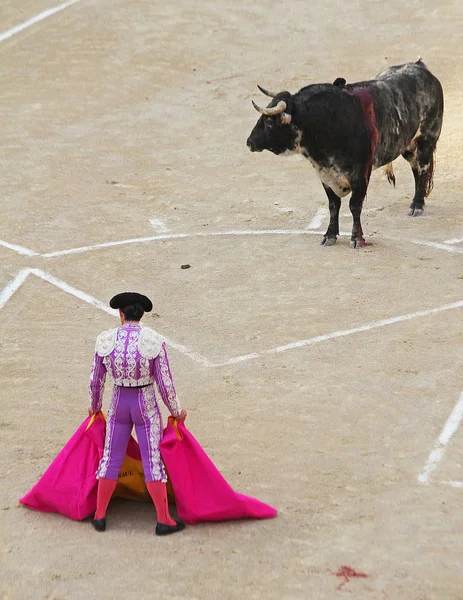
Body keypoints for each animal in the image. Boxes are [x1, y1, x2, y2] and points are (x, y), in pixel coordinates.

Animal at [248, 59, 444, 247]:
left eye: (269, 122)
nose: (249, 142)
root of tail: (421, 67)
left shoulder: (361, 175)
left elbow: (354, 206)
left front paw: (356, 239)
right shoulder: (326, 175)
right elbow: (333, 205)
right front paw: (330, 235)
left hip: (426, 139)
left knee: (423, 168)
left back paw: (417, 205)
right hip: (407, 146)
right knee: (416, 168)